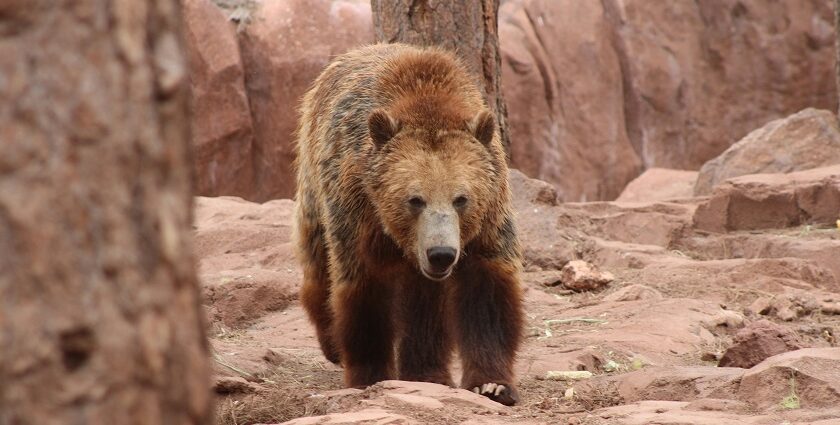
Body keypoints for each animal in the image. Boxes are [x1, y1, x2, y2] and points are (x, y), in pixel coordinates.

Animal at [292, 42, 520, 404]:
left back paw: (427, 372)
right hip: (314, 182)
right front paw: (369, 375)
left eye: (461, 198)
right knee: (317, 261)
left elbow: (487, 294)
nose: (441, 254)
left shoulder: (489, 214)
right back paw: (332, 344)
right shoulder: (358, 206)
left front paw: (492, 384)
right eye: (414, 199)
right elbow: (364, 289)